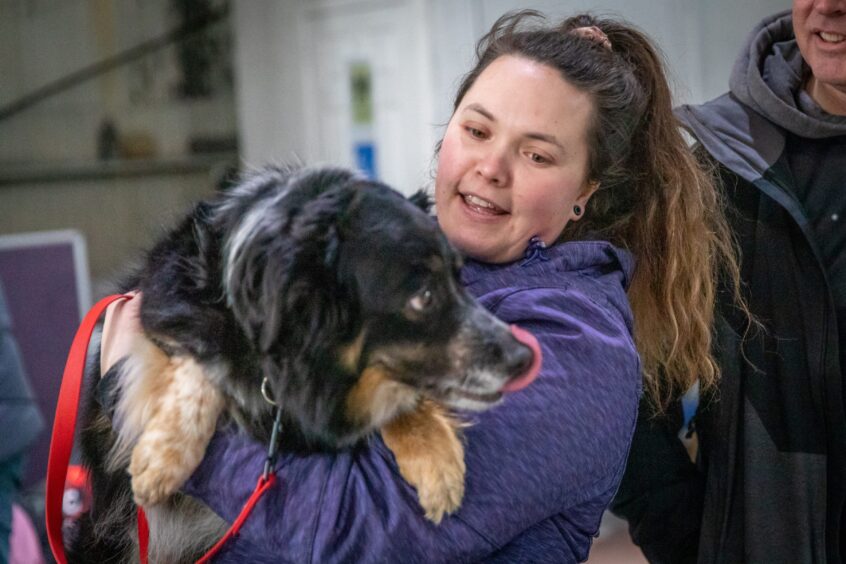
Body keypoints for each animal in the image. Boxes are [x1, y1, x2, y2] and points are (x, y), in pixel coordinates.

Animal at [69, 165, 540, 560]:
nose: (524, 357)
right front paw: (164, 456)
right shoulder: (162, 298)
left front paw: (436, 460)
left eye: (461, 280)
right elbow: (200, 358)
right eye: (423, 296)